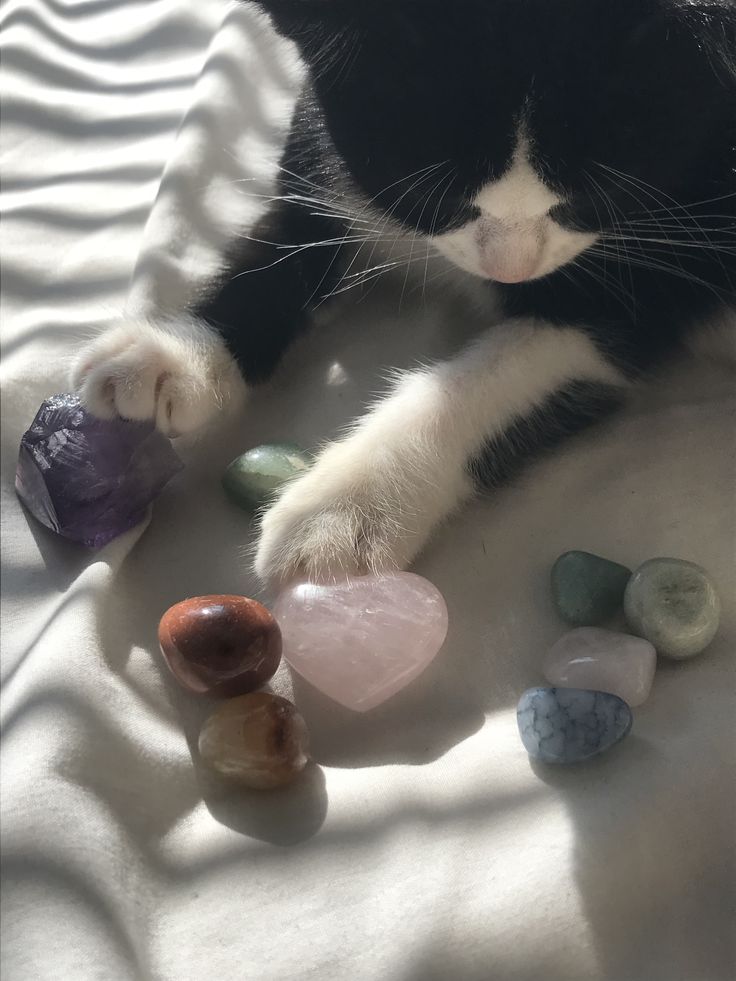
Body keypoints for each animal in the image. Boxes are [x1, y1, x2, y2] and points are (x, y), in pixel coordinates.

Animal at [70, 0, 736, 580]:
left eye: (594, 198)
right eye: (435, 198)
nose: (511, 269)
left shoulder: (660, 265)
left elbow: (505, 371)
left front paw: (347, 504)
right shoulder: (319, 152)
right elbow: (283, 247)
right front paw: (174, 353)